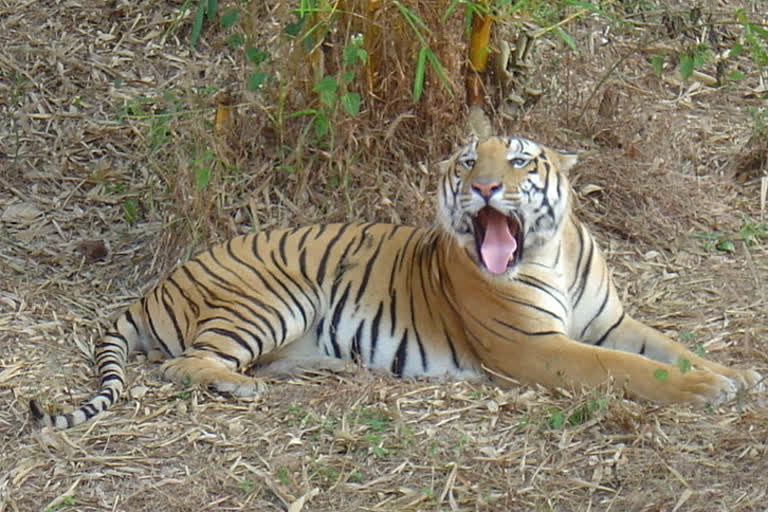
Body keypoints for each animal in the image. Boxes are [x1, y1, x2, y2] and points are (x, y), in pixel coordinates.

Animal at [31, 135, 760, 428]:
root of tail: (155, 286)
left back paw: (319, 369)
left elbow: (670, 349)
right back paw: (242, 387)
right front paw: (709, 389)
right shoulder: (534, 347)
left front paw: (735, 373)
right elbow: (627, 369)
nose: (483, 187)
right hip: (272, 297)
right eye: (467, 161)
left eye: (520, 162)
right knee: (183, 365)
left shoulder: (610, 321)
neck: (548, 251)